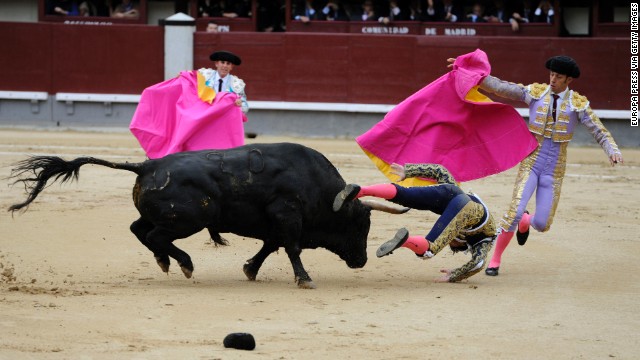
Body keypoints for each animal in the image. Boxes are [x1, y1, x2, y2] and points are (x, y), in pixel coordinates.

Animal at [8, 142, 404, 288]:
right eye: (360, 223)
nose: (361, 261)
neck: (315, 185)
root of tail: (148, 164)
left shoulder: (274, 224)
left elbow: (269, 247)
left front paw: (250, 270)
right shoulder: (287, 215)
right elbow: (290, 248)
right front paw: (304, 279)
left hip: (166, 216)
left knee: (139, 229)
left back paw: (165, 261)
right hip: (188, 220)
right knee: (154, 235)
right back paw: (182, 263)